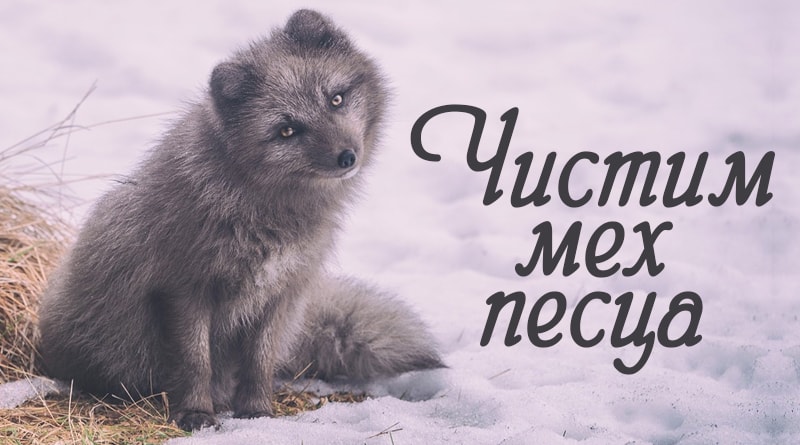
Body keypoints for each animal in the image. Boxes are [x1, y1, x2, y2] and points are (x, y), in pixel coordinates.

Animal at [36, 9, 443, 432]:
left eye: (336, 98)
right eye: (287, 130)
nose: (347, 157)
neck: (265, 213)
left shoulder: (280, 292)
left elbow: (259, 362)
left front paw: (258, 412)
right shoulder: (186, 289)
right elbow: (195, 362)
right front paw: (196, 412)